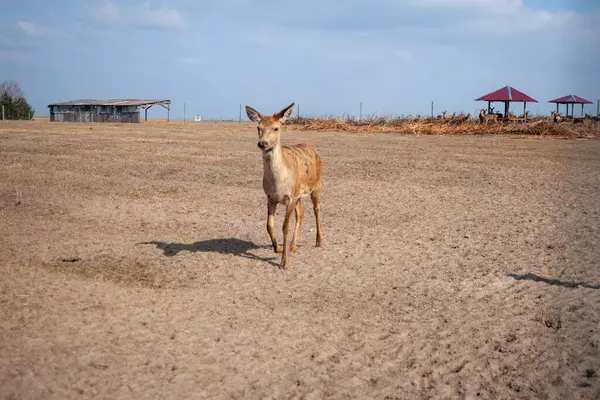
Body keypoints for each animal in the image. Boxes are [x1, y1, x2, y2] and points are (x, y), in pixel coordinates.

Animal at [245, 102, 324, 268]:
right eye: (258, 127)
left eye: (276, 128)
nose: (262, 143)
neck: (278, 183)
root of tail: (314, 149)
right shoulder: (270, 197)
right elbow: (269, 225)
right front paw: (279, 248)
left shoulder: (290, 197)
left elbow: (285, 226)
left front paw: (284, 262)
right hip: (299, 194)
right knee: (301, 214)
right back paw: (293, 246)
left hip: (317, 186)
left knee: (317, 209)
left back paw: (318, 241)